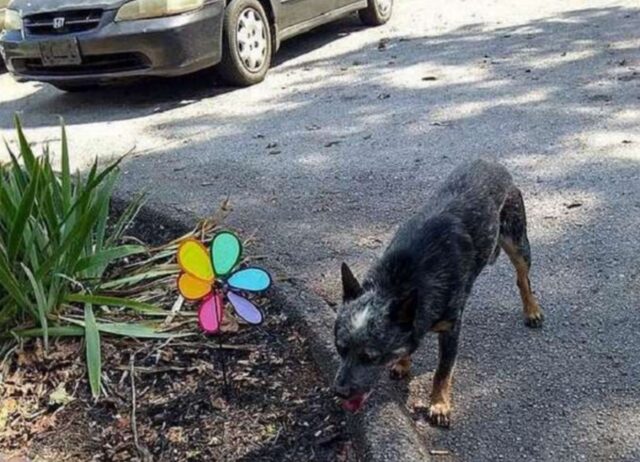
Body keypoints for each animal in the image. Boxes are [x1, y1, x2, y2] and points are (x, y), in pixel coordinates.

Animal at [332, 159, 544, 426]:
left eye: (370, 357)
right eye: (340, 348)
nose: (339, 392)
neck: (401, 277)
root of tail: (491, 164)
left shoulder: (451, 329)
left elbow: (442, 371)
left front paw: (439, 405)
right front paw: (403, 363)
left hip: (517, 239)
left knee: (523, 278)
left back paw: (532, 310)